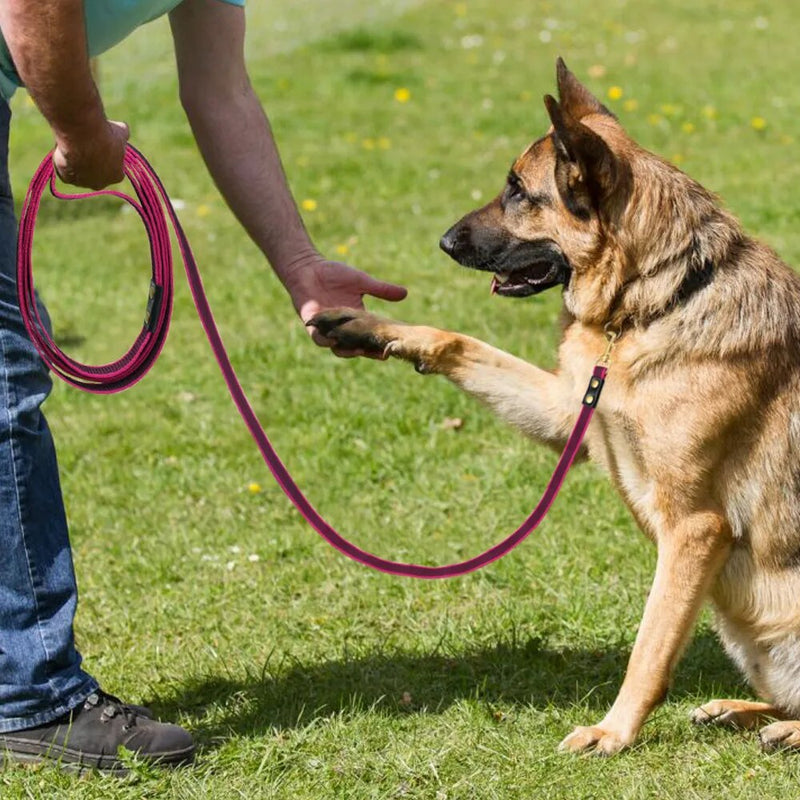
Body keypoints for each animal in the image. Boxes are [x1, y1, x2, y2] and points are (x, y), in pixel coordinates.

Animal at [310, 59, 800, 752]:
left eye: (518, 190)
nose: (442, 241)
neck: (653, 301)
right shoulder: (569, 411)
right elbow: (459, 342)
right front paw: (371, 327)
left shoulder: (694, 529)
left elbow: (649, 647)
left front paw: (613, 732)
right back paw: (740, 711)